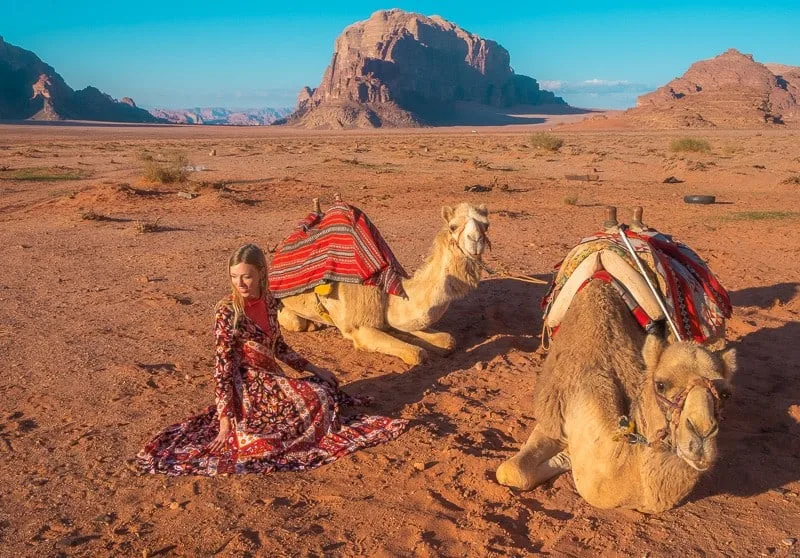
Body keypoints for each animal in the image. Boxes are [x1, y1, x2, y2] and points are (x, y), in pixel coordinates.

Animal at [276, 203, 488, 366]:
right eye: (453, 226)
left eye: (486, 225)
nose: (475, 240)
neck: (385, 289)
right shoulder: (358, 328)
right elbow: (417, 353)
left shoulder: (390, 318)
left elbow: (447, 339)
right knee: (295, 321)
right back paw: (310, 324)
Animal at [494, 278, 736, 516]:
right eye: (660, 384)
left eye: (725, 393)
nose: (701, 433)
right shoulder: (553, 415)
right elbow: (510, 472)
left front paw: (566, 457)